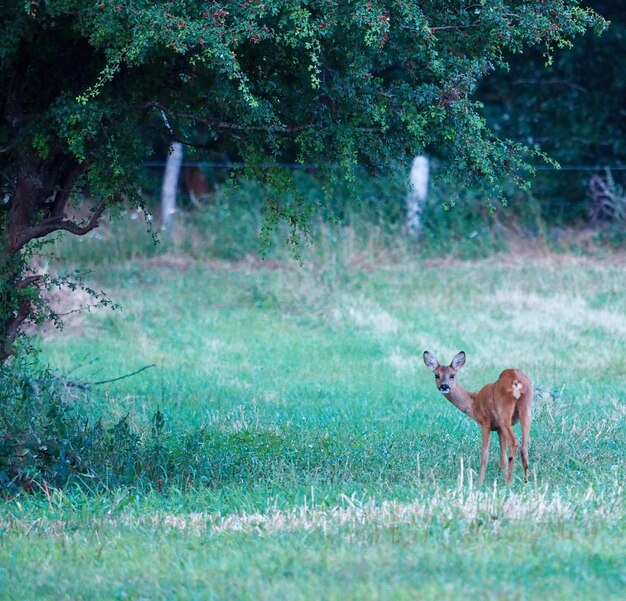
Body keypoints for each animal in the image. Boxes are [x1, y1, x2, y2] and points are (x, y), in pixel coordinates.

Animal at [422, 350, 528, 486]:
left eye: (452, 375)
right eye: (436, 375)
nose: (444, 386)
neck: (474, 401)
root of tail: (515, 380)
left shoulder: (485, 421)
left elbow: (484, 456)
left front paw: (479, 484)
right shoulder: (499, 428)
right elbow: (503, 459)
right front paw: (503, 481)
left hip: (504, 414)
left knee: (514, 443)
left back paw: (510, 482)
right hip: (525, 410)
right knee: (524, 446)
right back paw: (524, 481)